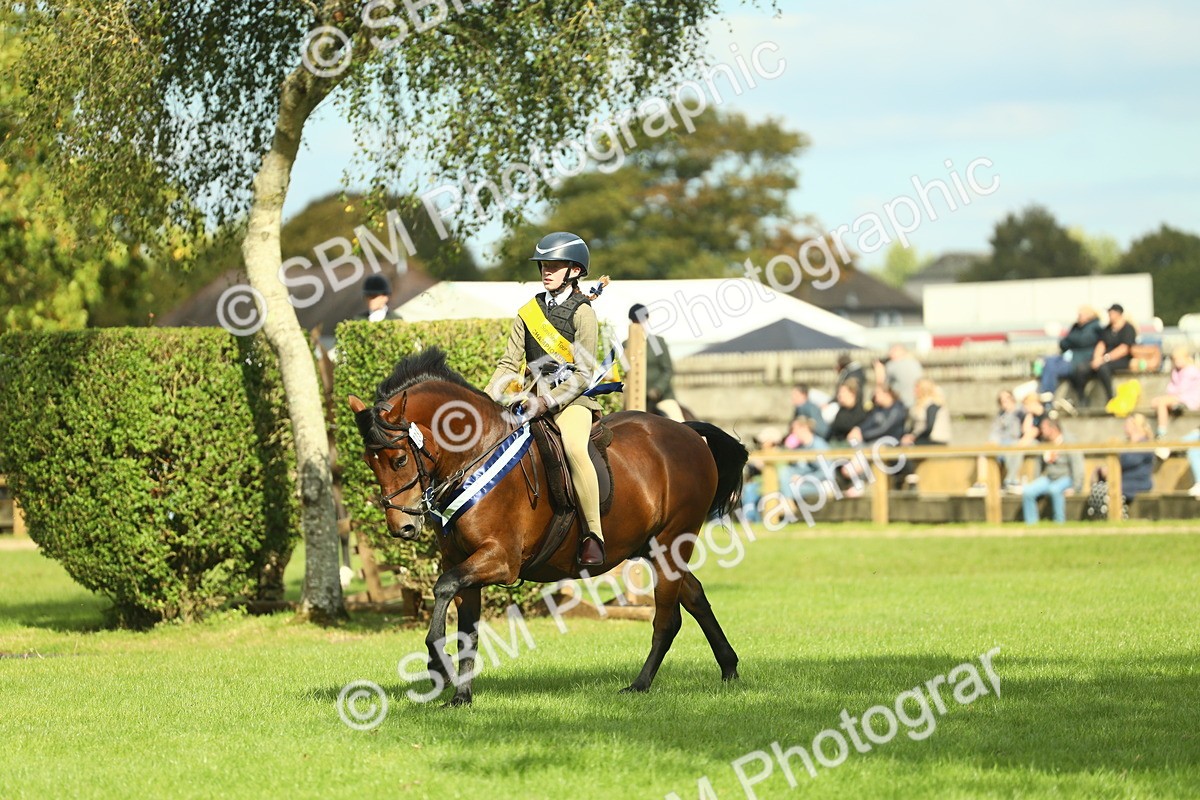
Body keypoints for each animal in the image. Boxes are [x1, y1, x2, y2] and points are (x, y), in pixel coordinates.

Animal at [347, 347, 748, 706]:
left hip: (671, 543)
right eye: (368, 462)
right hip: (653, 547)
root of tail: (688, 433)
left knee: (667, 619)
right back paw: (729, 668)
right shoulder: (462, 562)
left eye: (399, 459)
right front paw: (460, 696)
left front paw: (437, 665)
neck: (476, 456)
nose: (401, 527)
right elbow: (466, 631)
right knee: (694, 596)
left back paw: (641, 684)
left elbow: (443, 589)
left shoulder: (501, 560)